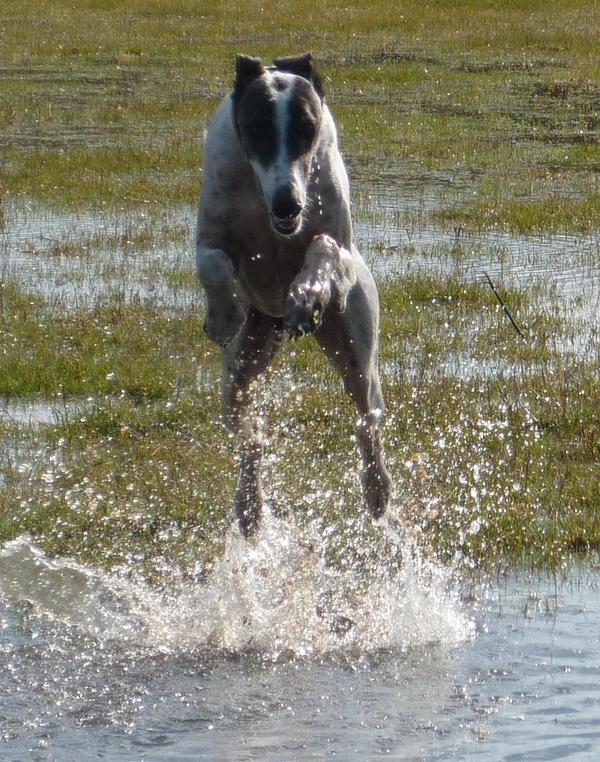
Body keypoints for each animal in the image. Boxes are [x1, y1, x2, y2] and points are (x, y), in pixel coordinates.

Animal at [197, 53, 394, 536]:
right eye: (259, 127)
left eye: (307, 126)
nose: (289, 203)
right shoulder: (209, 237)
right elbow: (214, 262)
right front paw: (224, 314)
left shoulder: (338, 247)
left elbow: (324, 250)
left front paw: (306, 294)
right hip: (241, 370)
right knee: (249, 433)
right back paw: (250, 505)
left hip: (355, 348)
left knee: (367, 421)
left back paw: (376, 489)